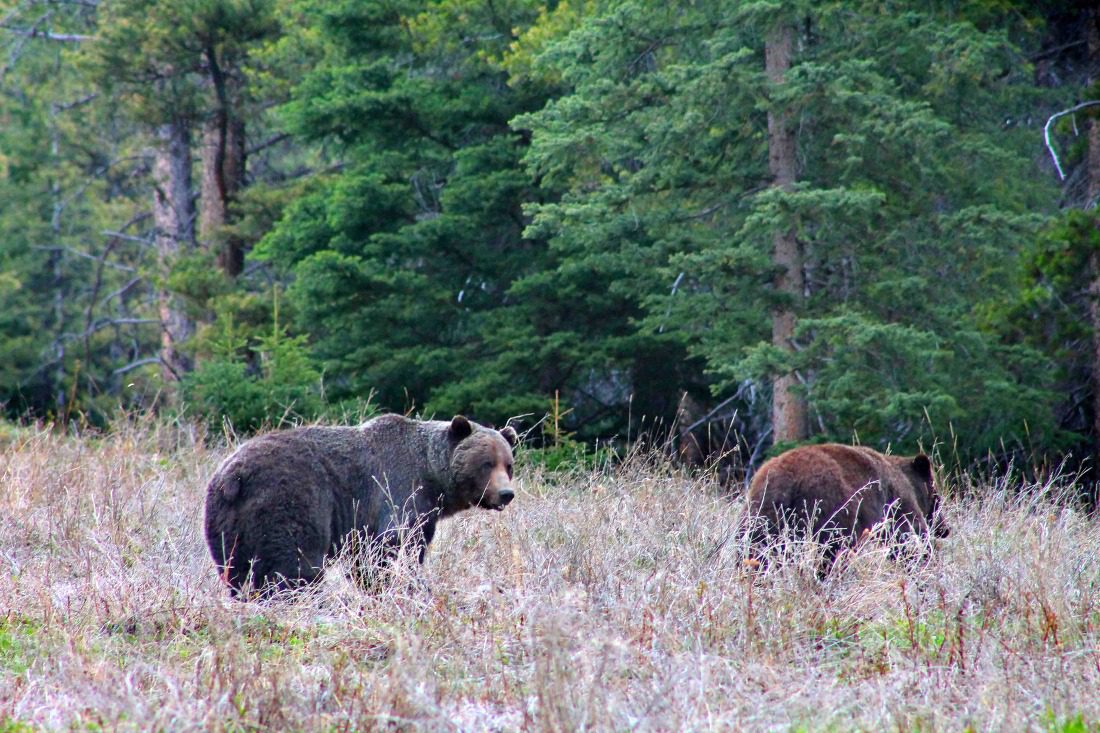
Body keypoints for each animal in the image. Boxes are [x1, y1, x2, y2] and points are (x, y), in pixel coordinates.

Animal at [204, 413, 518, 596]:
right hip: (288, 500)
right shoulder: (397, 493)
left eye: (508, 464)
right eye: (486, 463)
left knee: (237, 568)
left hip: (228, 520)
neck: (432, 478)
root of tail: (234, 477)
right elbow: (390, 549)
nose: (506, 493)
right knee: (294, 565)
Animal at [745, 443, 949, 569]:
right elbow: (907, 537)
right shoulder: (897, 502)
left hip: (760, 514)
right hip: (829, 510)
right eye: (937, 498)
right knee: (832, 551)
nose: (945, 529)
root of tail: (785, 481)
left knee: (754, 551)